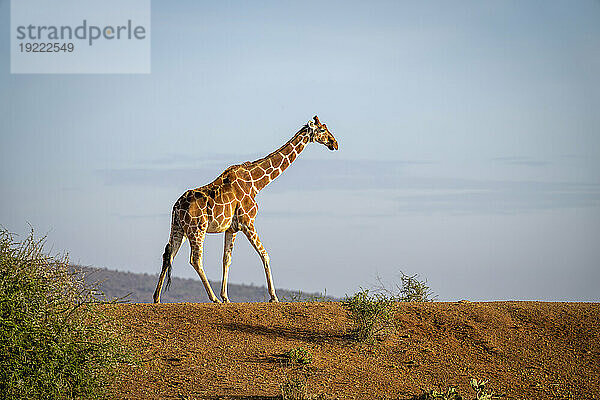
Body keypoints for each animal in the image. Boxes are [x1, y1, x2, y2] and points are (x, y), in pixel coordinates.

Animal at [152, 115, 340, 304]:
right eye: (322, 130)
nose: (335, 143)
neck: (256, 183)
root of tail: (176, 207)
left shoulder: (231, 228)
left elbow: (226, 260)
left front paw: (226, 297)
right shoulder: (247, 222)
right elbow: (265, 255)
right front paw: (273, 297)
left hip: (179, 229)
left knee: (169, 254)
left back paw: (157, 297)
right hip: (197, 229)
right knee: (195, 259)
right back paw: (213, 298)